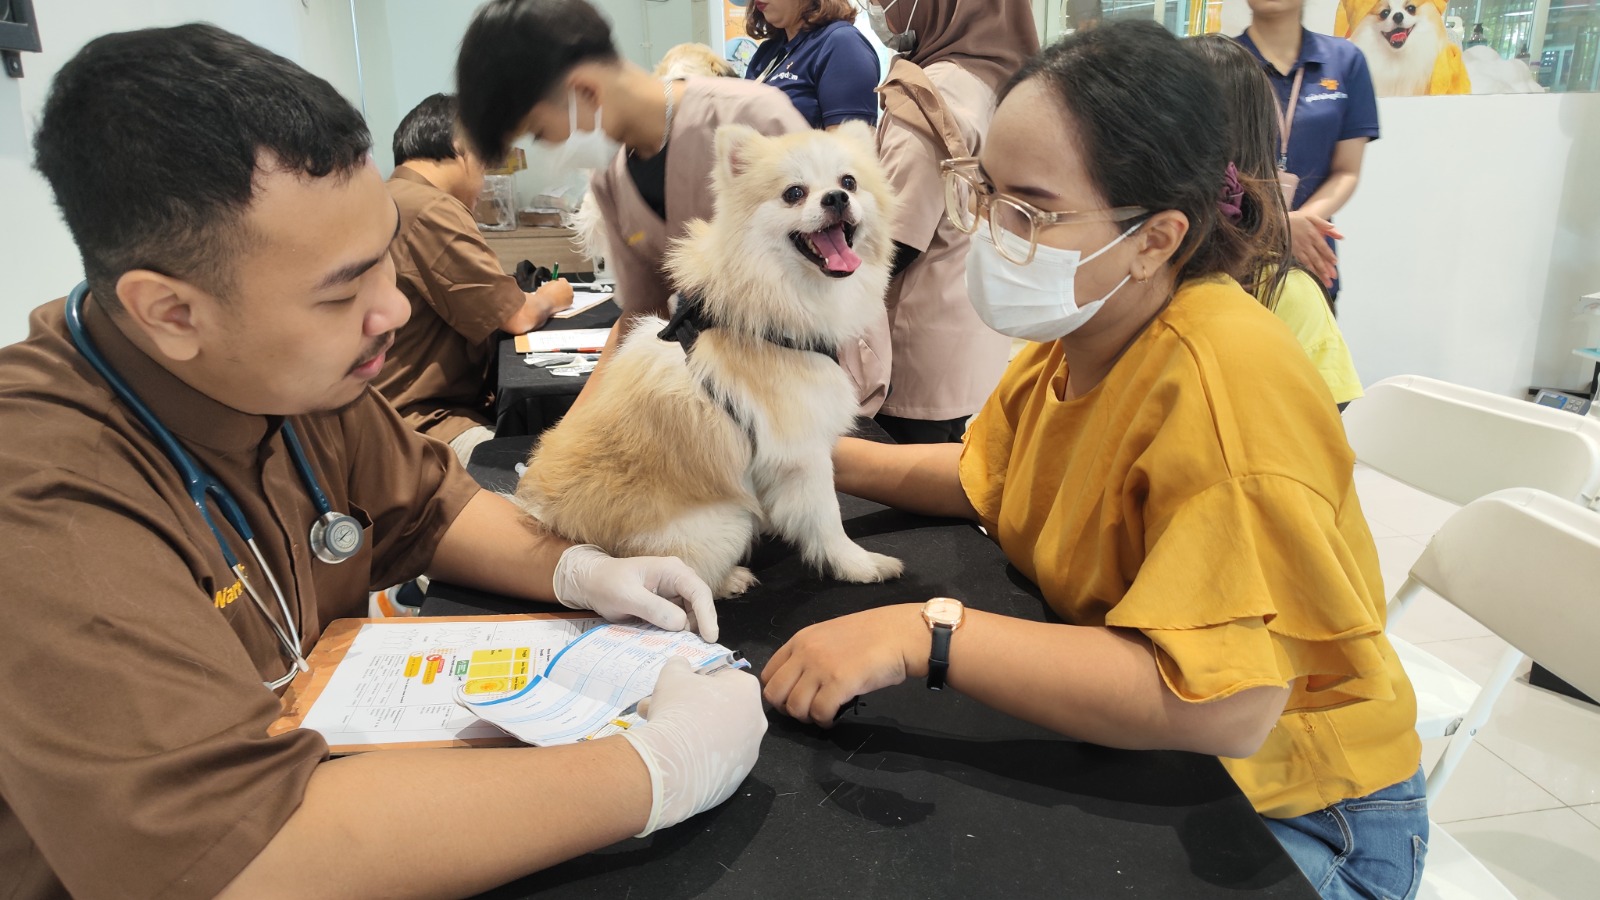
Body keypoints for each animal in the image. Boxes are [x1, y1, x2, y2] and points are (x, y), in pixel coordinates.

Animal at [518, 120, 908, 595]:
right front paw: (859, 565)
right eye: (794, 193)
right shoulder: (802, 456)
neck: (778, 298)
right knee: (686, 576)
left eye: (848, 182)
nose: (835, 198)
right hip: (724, 522)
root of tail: (553, 523)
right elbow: (828, 522)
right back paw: (730, 579)